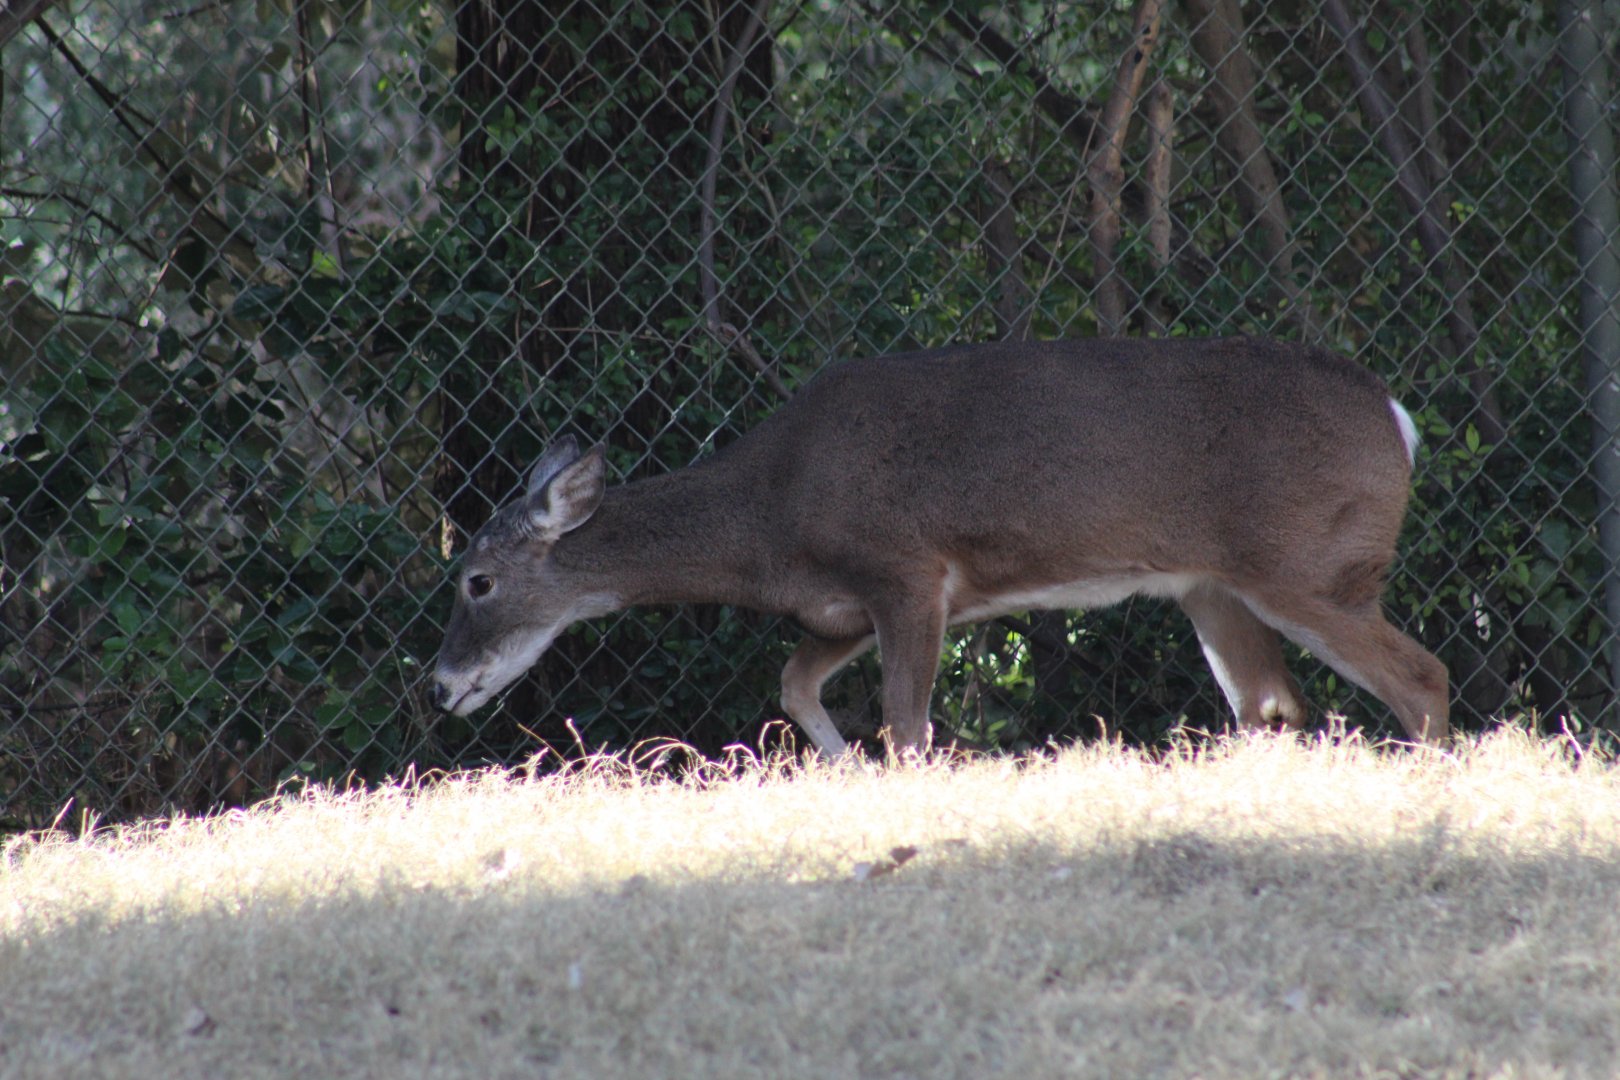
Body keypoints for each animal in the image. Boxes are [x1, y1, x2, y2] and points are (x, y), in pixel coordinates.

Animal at [429, 336, 1449, 761]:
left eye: (475, 580)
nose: (439, 686)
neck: (772, 514)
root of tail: (1399, 420)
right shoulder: (847, 603)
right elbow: (794, 684)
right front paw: (842, 771)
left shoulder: (908, 572)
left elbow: (908, 724)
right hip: (1214, 585)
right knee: (1271, 702)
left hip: (1310, 564)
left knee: (1421, 676)